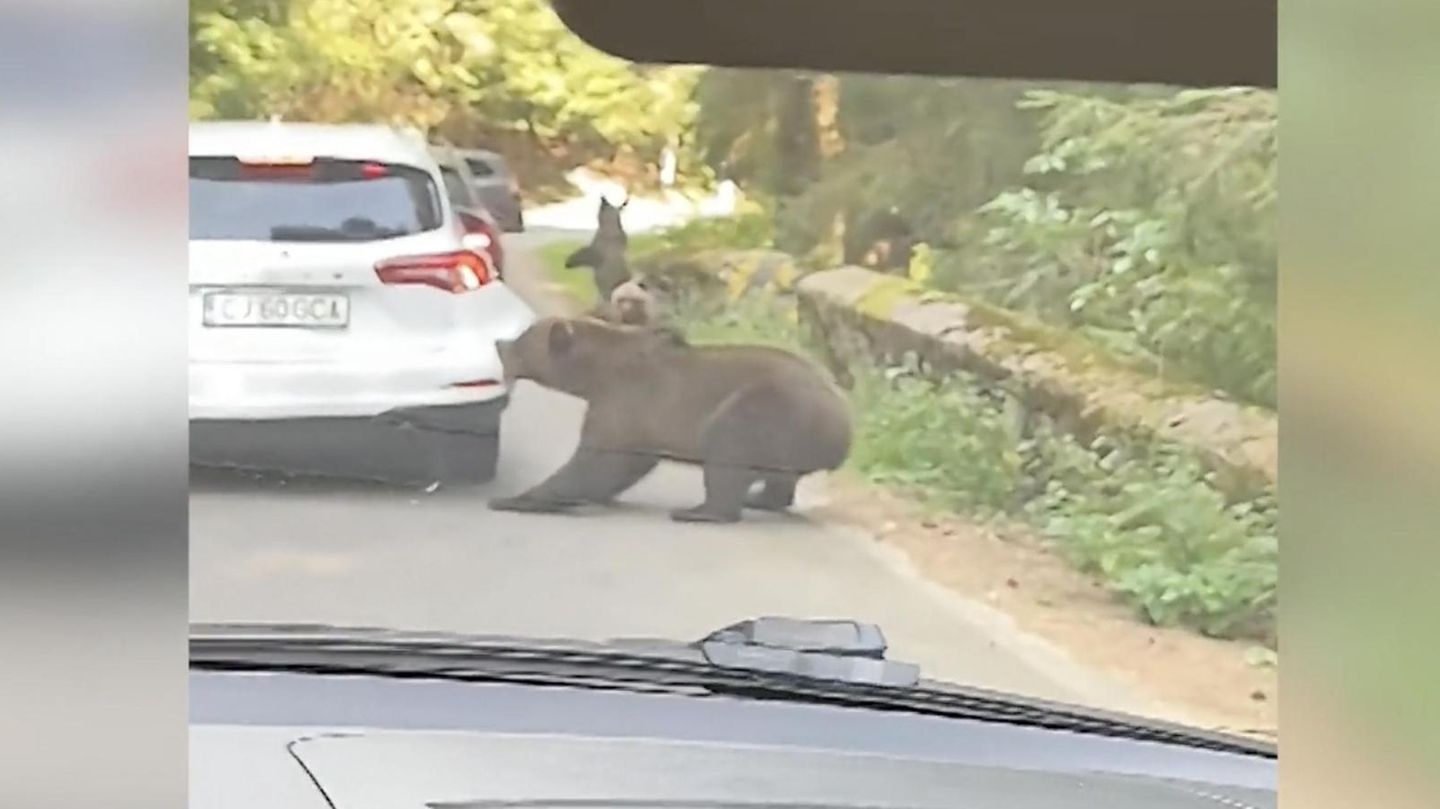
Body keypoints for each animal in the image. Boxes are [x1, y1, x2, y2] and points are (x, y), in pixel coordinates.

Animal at [491, 317, 852, 523]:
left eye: (522, 338)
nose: (499, 343)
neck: (596, 373)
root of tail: (844, 427)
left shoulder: (625, 401)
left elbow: (596, 460)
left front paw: (514, 498)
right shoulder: (639, 419)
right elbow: (621, 466)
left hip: (772, 409)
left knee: (729, 447)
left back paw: (699, 512)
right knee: (778, 477)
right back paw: (761, 499)